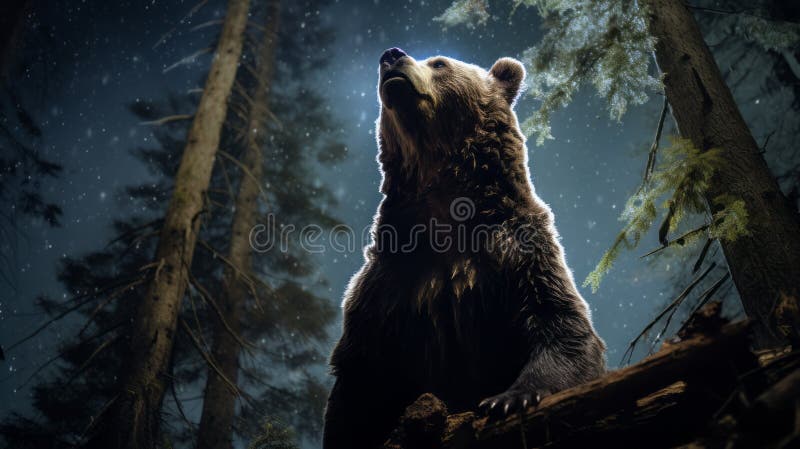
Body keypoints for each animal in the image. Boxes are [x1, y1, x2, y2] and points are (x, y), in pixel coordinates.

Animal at [322, 48, 606, 449]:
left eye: (439, 63)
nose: (391, 55)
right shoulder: (389, 280)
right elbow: (358, 377)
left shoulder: (521, 254)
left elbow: (564, 329)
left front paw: (509, 397)